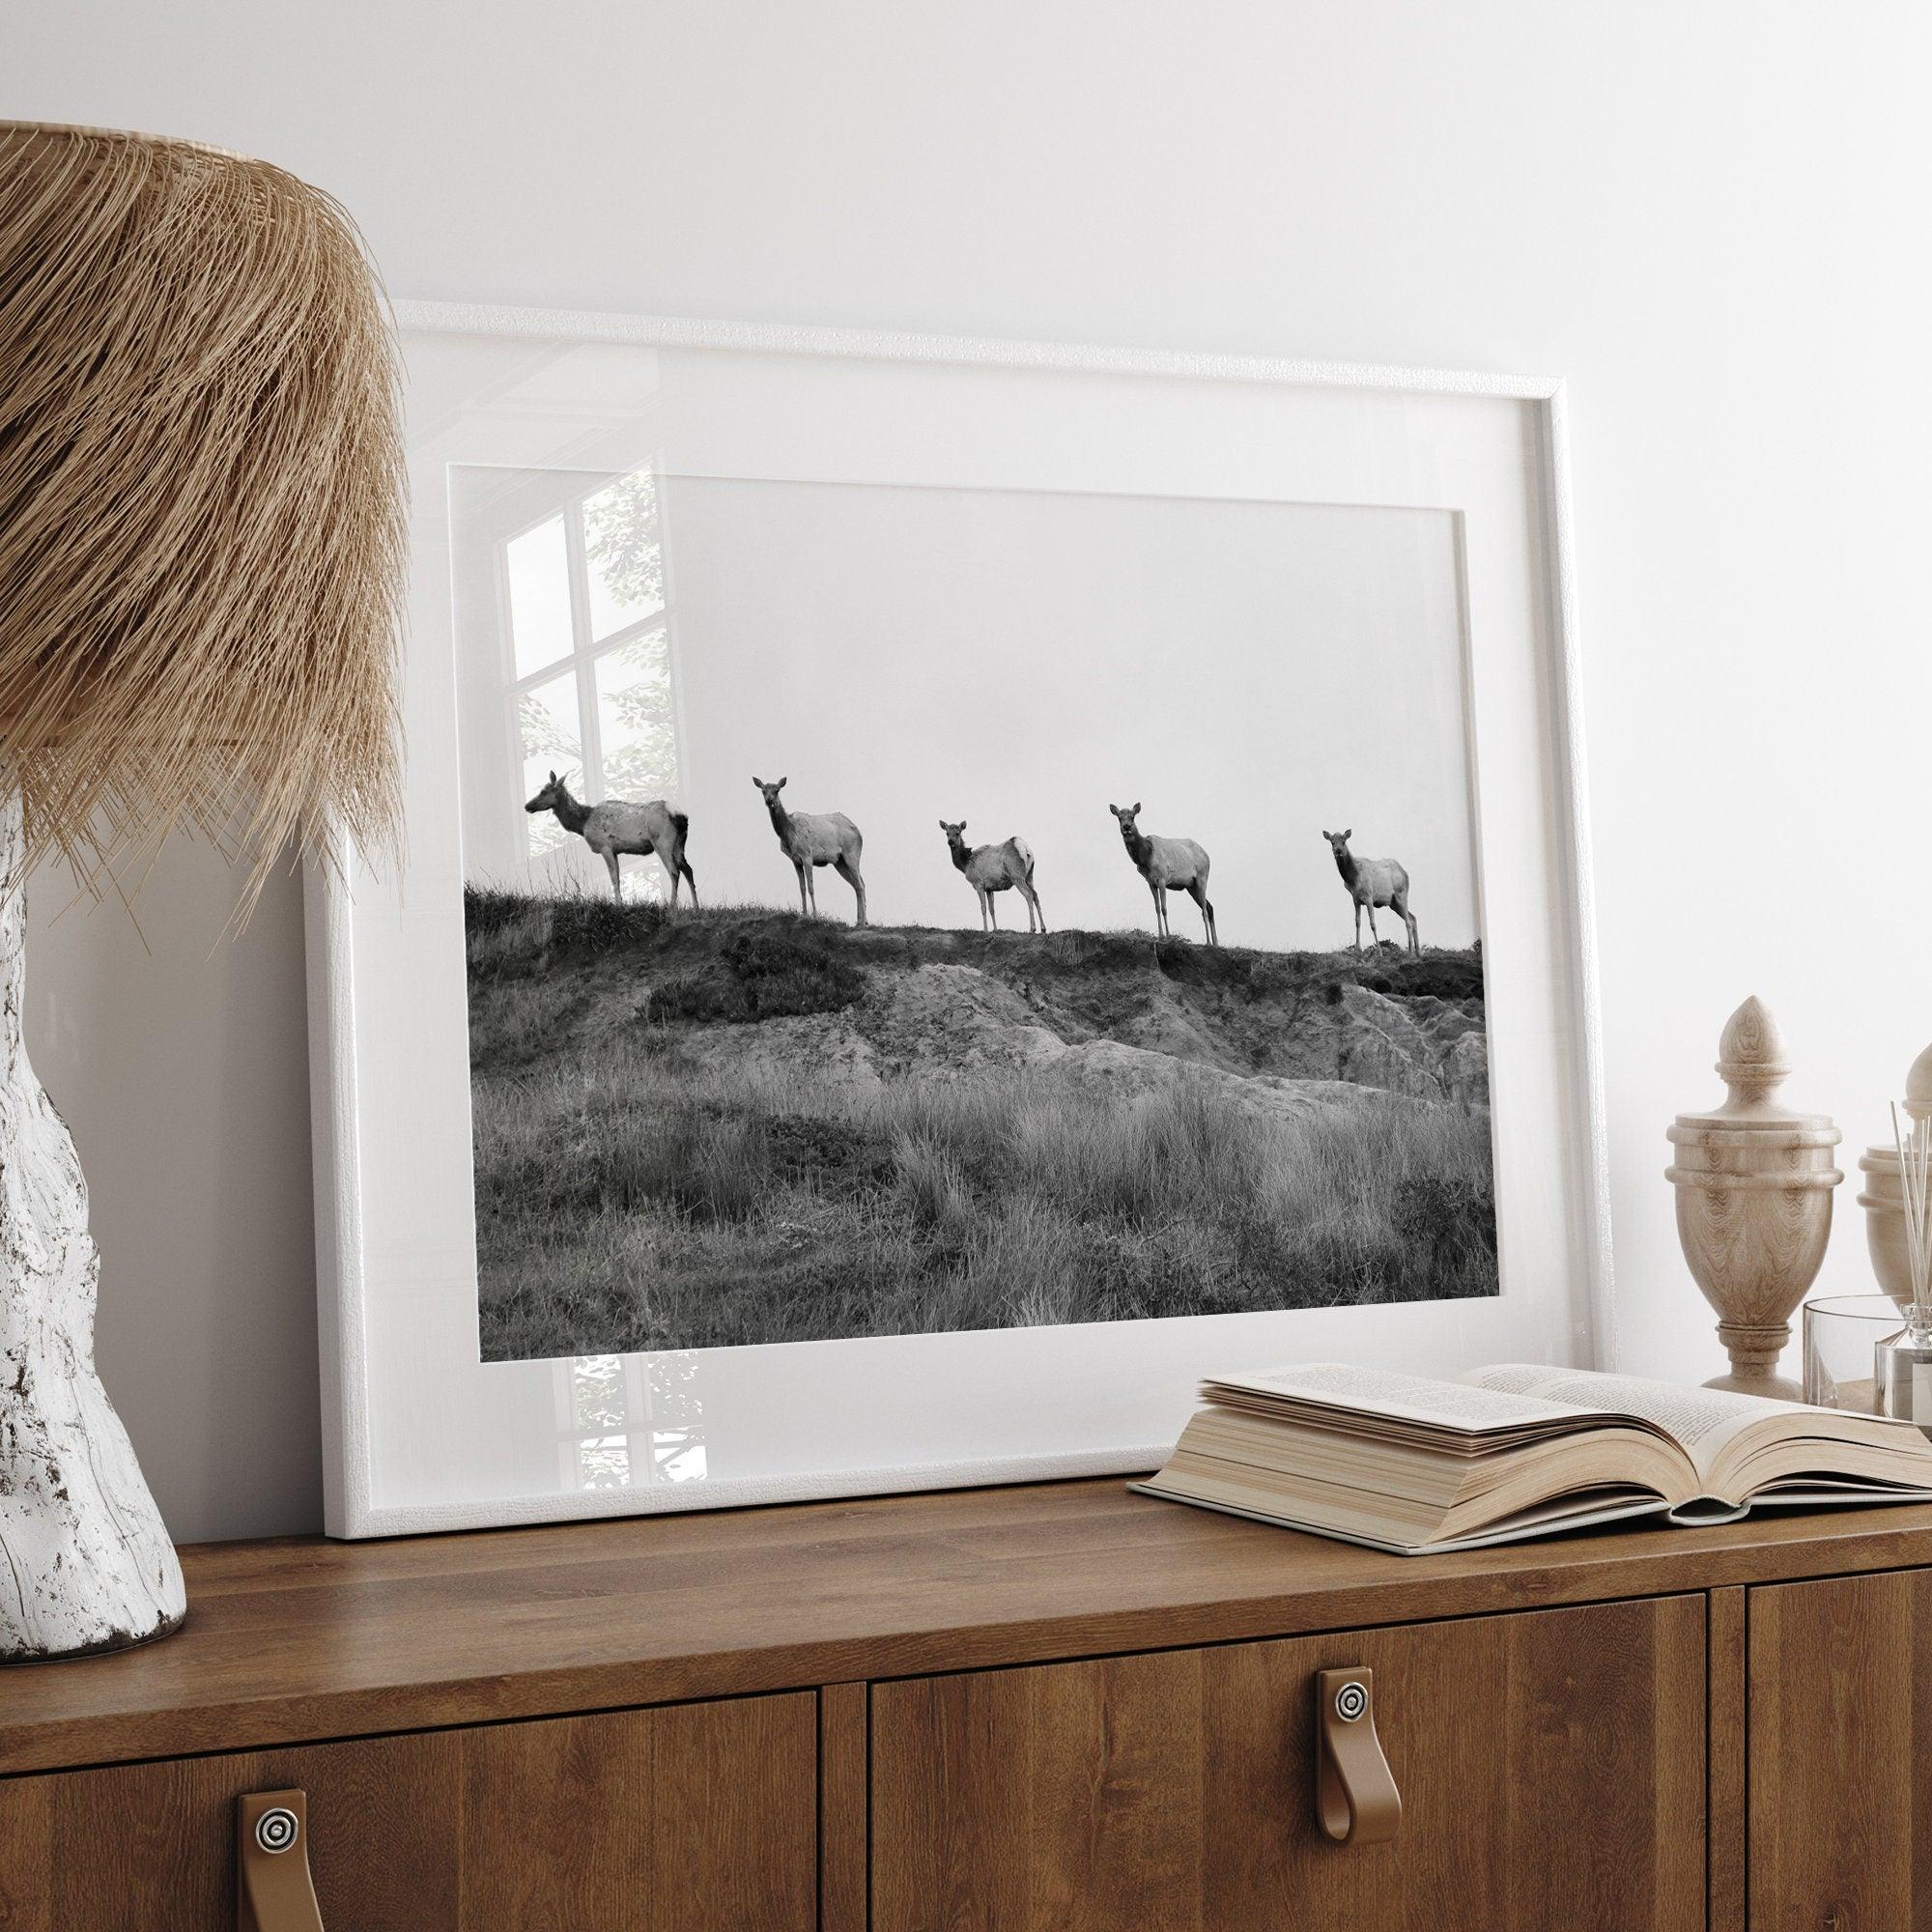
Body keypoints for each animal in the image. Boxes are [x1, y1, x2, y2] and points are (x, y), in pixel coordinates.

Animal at [526, 769, 699, 904]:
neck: (582, 823)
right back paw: (695, 906)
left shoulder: (605, 846)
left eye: (543, 791)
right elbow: (618, 877)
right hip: (679, 843)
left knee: (674, 871)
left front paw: (618, 904)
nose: (527, 806)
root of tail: (680, 815)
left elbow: (613, 877)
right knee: (688, 869)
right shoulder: (615, 850)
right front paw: (620, 902)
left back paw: (672, 906)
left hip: (662, 841)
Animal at [753, 773, 869, 923]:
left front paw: (815, 915)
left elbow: (811, 887)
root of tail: (859, 833)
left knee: (861, 884)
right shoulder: (795, 860)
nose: (769, 801)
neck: (788, 834)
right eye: (763, 791)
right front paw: (804, 914)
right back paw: (859, 922)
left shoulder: (807, 855)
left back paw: (864, 921)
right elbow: (802, 888)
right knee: (856, 885)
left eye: (777, 790)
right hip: (839, 862)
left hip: (852, 854)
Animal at [1113, 804, 1213, 947]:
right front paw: (1160, 935)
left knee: (1204, 910)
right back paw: (1216, 942)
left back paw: (1209, 942)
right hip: (1191, 886)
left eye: (1132, 817)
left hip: (1202, 877)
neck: (1145, 858)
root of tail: (1207, 856)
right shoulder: (1151, 882)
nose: (1127, 827)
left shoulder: (1162, 878)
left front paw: (1168, 935)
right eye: (1119, 818)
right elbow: (1157, 908)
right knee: (1210, 907)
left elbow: (1165, 907)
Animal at [1329, 827, 1422, 954]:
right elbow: (1357, 922)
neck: (1353, 879)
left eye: (1344, 842)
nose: (1338, 851)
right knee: (1413, 918)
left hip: (1401, 895)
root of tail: (1406, 873)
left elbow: (1373, 923)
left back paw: (1411, 952)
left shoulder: (1369, 897)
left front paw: (1379, 951)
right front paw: (1358, 949)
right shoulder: (1355, 899)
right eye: (1332, 842)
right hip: (1393, 903)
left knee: (1408, 922)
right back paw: (1418, 952)